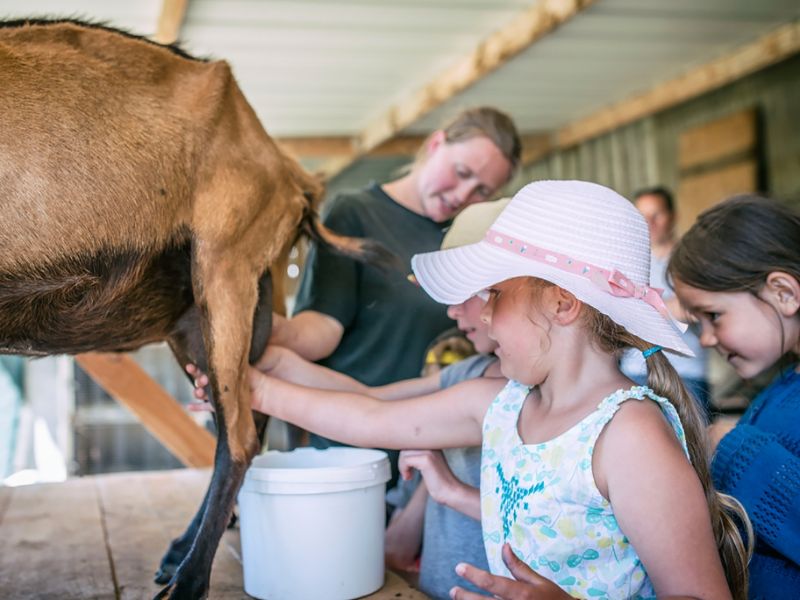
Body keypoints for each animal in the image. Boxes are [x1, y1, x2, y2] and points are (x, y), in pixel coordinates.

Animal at [0, 19, 389, 599]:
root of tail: (294, 177)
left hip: (226, 266)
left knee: (240, 436)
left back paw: (187, 578)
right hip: (202, 321)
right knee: (245, 415)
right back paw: (179, 553)